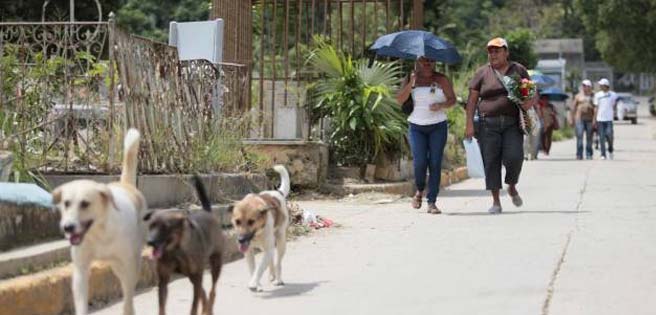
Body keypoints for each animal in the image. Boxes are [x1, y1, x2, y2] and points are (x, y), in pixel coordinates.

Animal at [53, 129, 146, 315]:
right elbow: (81, 301)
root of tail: (126, 185)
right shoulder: (81, 270)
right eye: (66, 203)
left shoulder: (129, 265)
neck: (100, 232)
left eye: (85, 203)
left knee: (128, 287)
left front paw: (128, 309)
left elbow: (128, 296)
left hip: (129, 263)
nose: (67, 227)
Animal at [144, 175, 226, 315]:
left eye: (165, 227)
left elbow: (193, 307)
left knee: (212, 291)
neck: (176, 250)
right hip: (192, 276)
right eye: (151, 226)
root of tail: (208, 213)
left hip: (215, 265)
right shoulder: (163, 280)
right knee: (203, 291)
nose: (150, 242)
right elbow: (162, 307)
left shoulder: (197, 275)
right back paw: (205, 308)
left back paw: (208, 308)